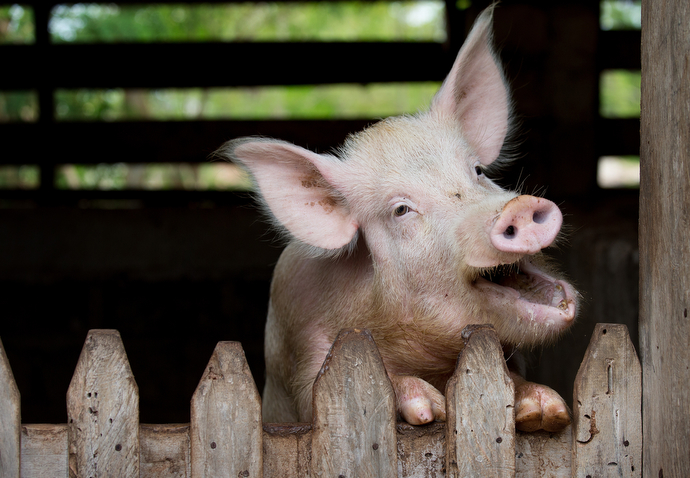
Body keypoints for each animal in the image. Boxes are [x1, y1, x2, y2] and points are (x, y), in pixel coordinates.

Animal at [219, 6, 576, 434]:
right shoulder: (303, 360)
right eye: (401, 210)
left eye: (476, 171)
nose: (517, 207)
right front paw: (428, 410)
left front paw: (547, 411)